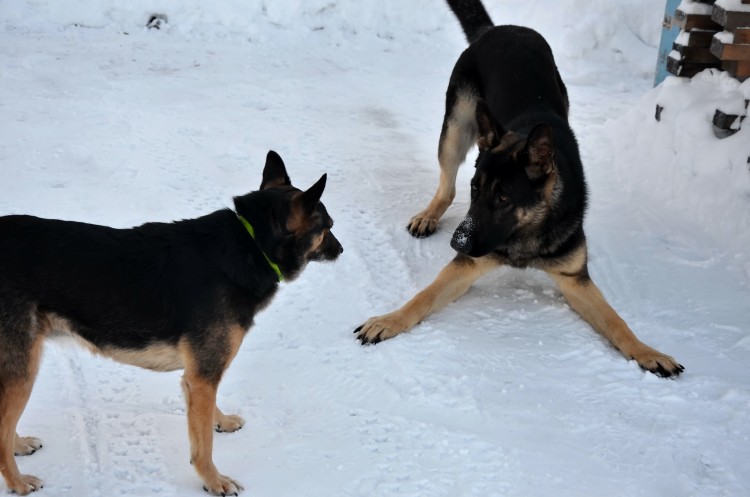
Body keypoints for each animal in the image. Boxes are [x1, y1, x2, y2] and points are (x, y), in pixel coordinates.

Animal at [0, 150, 344, 492]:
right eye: (328, 226)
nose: (340, 249)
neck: (252, 244)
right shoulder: (202, 377)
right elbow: (203, 445)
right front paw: (214, 480)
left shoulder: (200, 377)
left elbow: (209, 414)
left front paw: (222, 422)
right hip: (22, 371)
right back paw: (18, 482)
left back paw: (20, 445)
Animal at [356, 0, 684, 378]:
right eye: (476, 189)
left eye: (503, 198)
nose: (457, 243)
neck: (527, 231)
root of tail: (500, 29)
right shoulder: (465, 265)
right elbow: (422, 297)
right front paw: (389, 320)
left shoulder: (575, 279)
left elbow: (618, 323)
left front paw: (647, 352)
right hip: (456, 127)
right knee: (446, 184)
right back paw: (429, 215)